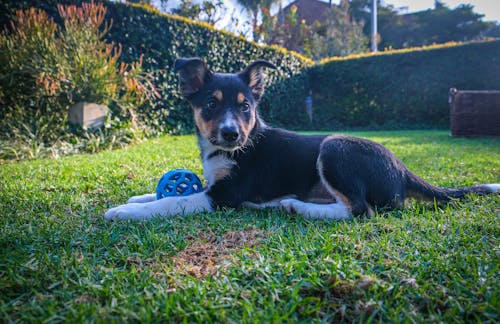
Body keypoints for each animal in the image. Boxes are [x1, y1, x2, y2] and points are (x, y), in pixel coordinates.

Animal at [104, 57, 496, 220]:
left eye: (246, 108)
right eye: (210, 105)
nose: (231, 133)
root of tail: (402, 168)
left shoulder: (225, 195)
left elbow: (173, 202)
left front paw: (124, 211)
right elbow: (170, 193)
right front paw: (137, 197)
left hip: (335, 148)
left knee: (360, 210)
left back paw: (296, 207)